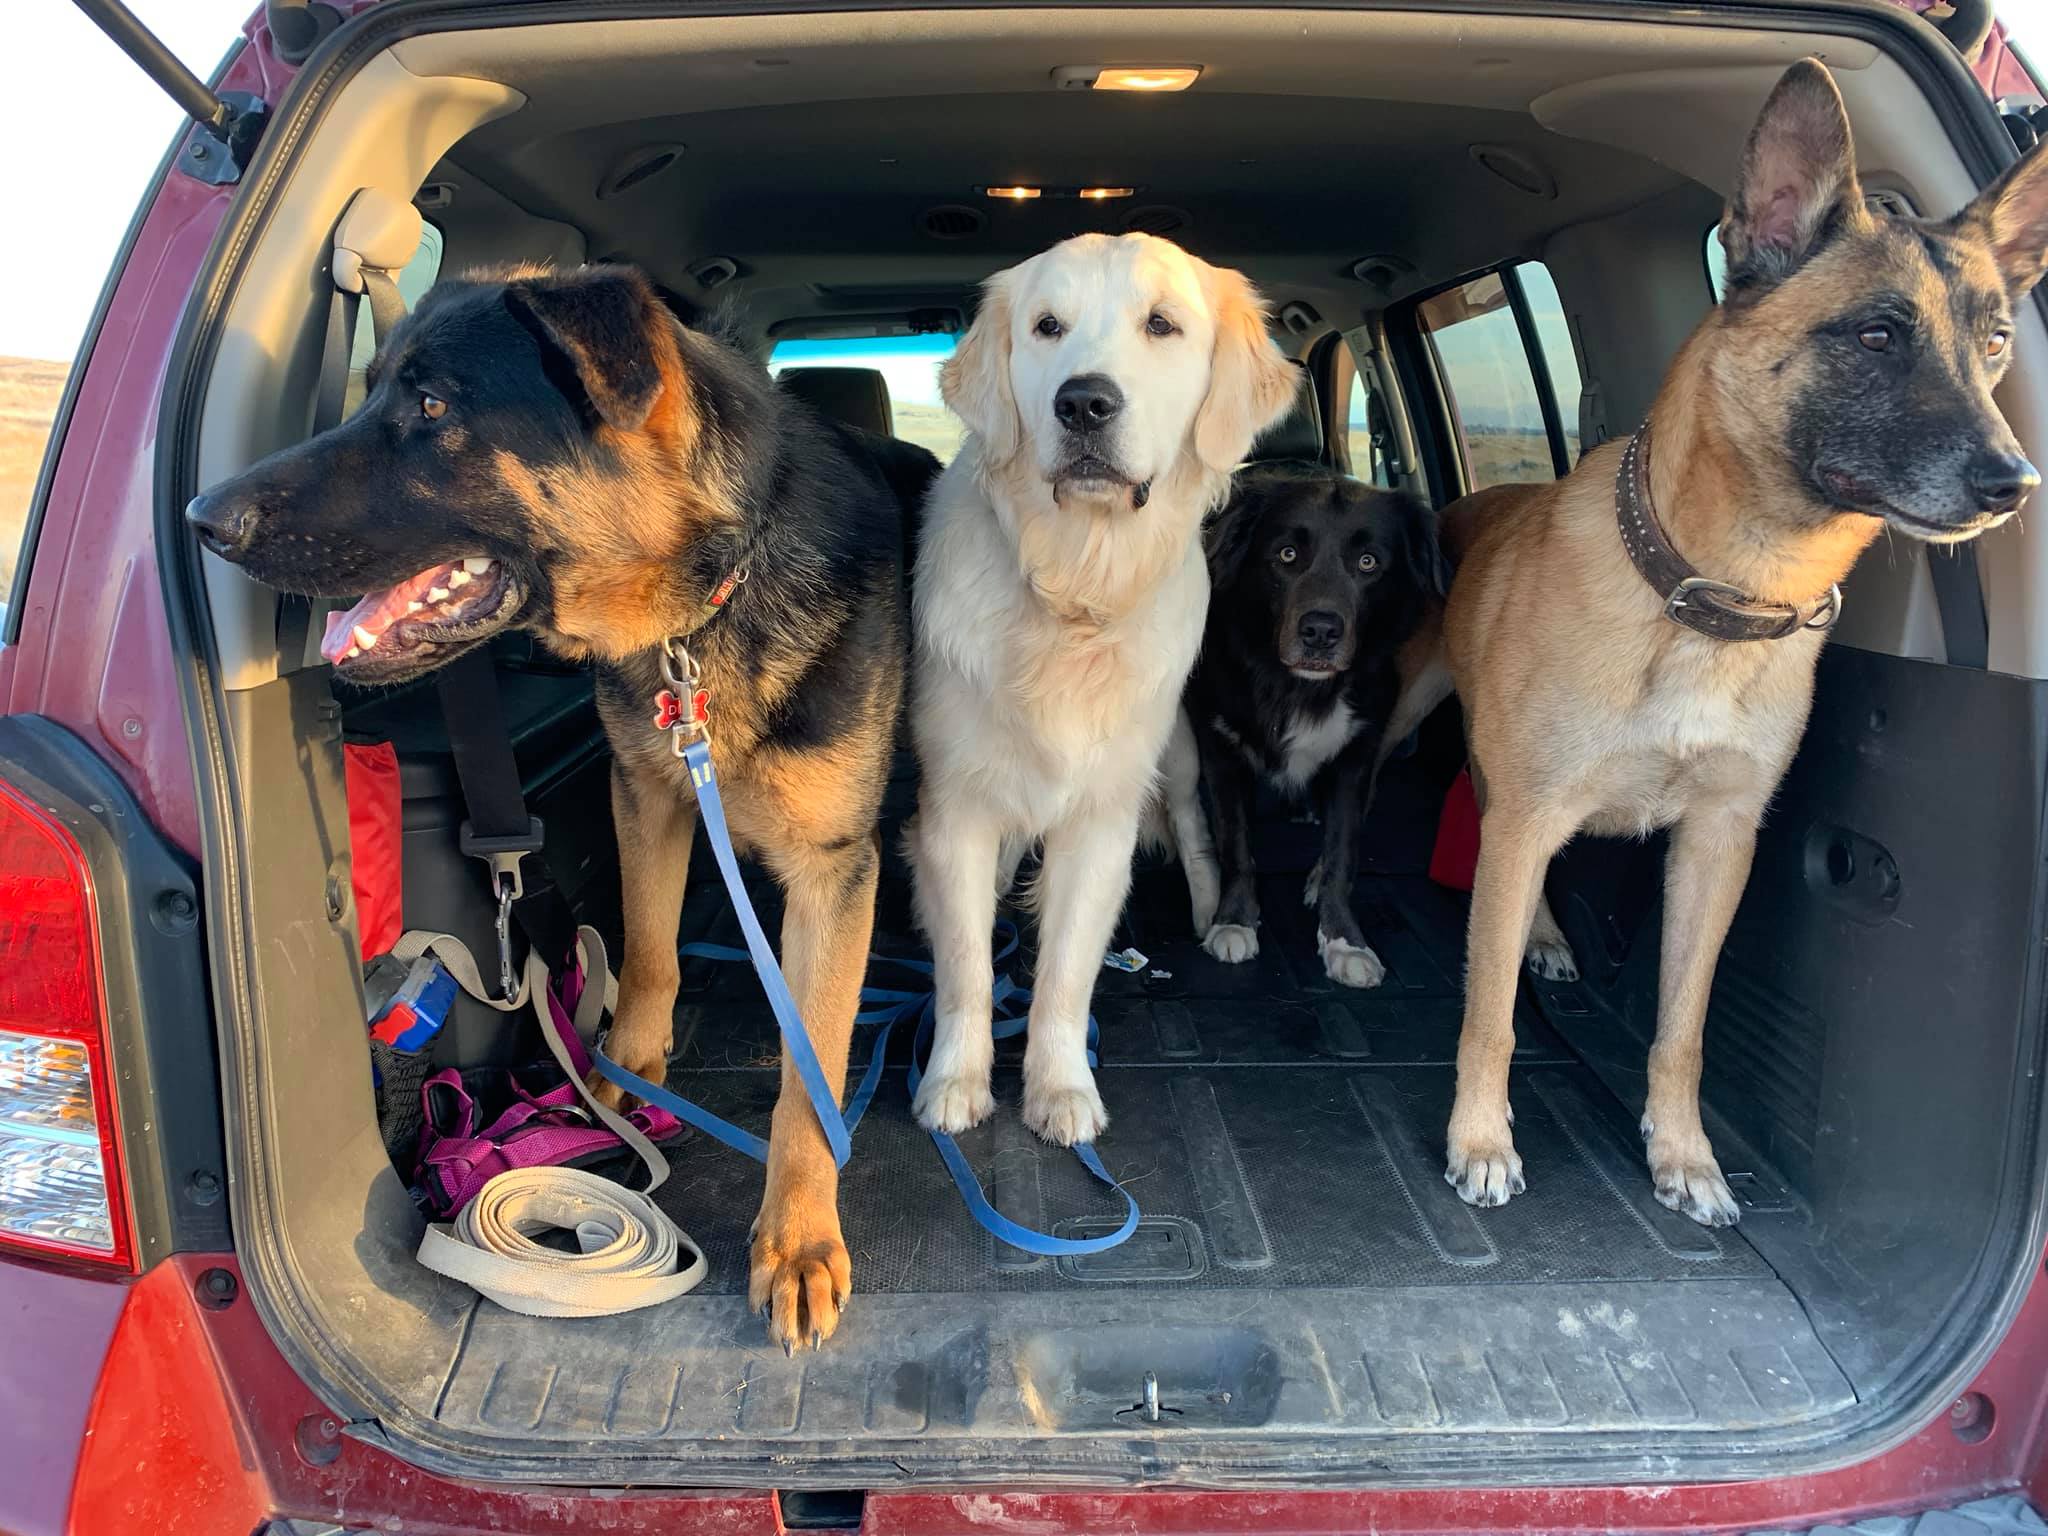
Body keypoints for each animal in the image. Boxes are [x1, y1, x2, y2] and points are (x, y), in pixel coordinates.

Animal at [186, 264, 936, 1351]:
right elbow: (653, 949)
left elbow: (811, 1072)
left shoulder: (834, 870)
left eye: (430, 407)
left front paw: (797, 1236)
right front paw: (617, 1080)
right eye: (370, 393)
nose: (200, 516)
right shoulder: (648, 795)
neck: (706, 601)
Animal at [908, 232, 1296, 1146]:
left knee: (1195, 833)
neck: (1075, 587)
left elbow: (1065, 975)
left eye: (1162, 325)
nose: (1084, 403)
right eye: (1047, 327)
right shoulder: (956, 811)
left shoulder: (1102, 820)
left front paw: (1060, 1086)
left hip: (1179, 762)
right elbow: (968, 968)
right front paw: (956, 1080)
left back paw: (1215, 917)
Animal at [1172, 462, 1449, 987]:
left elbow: (1343, 853)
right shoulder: (1220, 747)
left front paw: (1344, 941)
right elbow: (1236, 843)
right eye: (1287, 555)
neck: (1294, 686)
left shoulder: (1356, 756)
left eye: (1368, 562)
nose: (1320, 631)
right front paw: (1234, 921)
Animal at [1419, 59, 2048, 1225]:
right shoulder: (1529, 816)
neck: (1710, 597)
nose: (2013, 483)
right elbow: (1488, 1013)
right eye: (1876, 335)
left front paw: (1683, 1154)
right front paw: (1480, 1139)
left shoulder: (1719, 844)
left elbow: (1685, 1027)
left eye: (1994, 340)